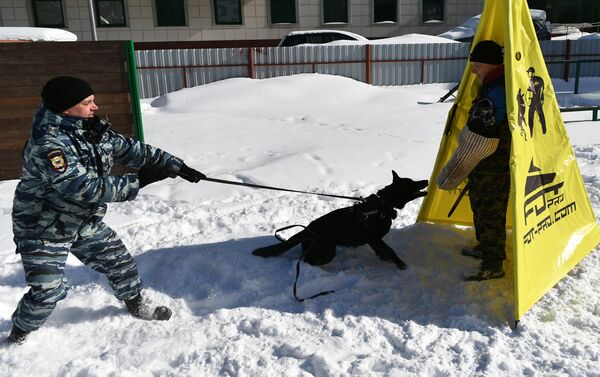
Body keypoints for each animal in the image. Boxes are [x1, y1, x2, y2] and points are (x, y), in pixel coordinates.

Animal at [252, 170, 426, 270]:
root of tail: (307, 230)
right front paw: (401, 265)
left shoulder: (373, 240)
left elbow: (383, 251)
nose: (426, 181)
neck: (383, 204)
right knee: (308, 260)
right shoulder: (374, 238)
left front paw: (386, 260)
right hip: (329, 250)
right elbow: (390, 250)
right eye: (411, 183)